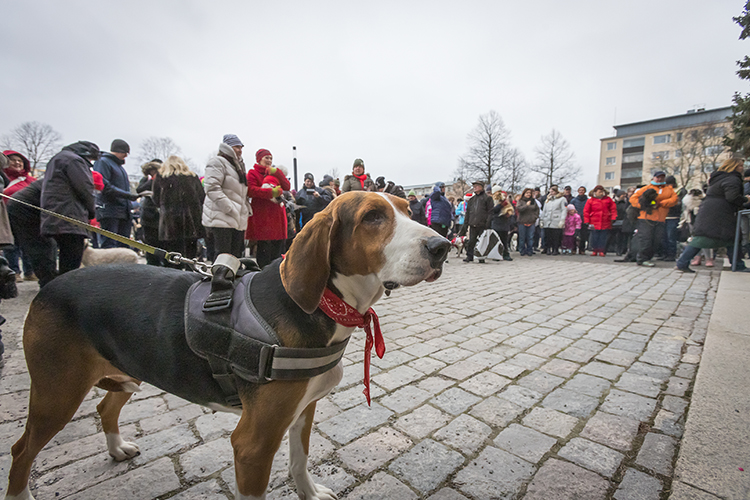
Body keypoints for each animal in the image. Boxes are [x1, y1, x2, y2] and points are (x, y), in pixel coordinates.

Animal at [5, 192, 450, 500]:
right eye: (372, 217)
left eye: (408, 209)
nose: (443, 246)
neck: (326, 304)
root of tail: (52, 284)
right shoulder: (252, 444)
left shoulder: (304, 409)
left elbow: (300, 460)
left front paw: (309, 492)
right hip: (57, 394)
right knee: (21, 450)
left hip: (127, 372)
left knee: (104, 408)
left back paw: (116, 449)